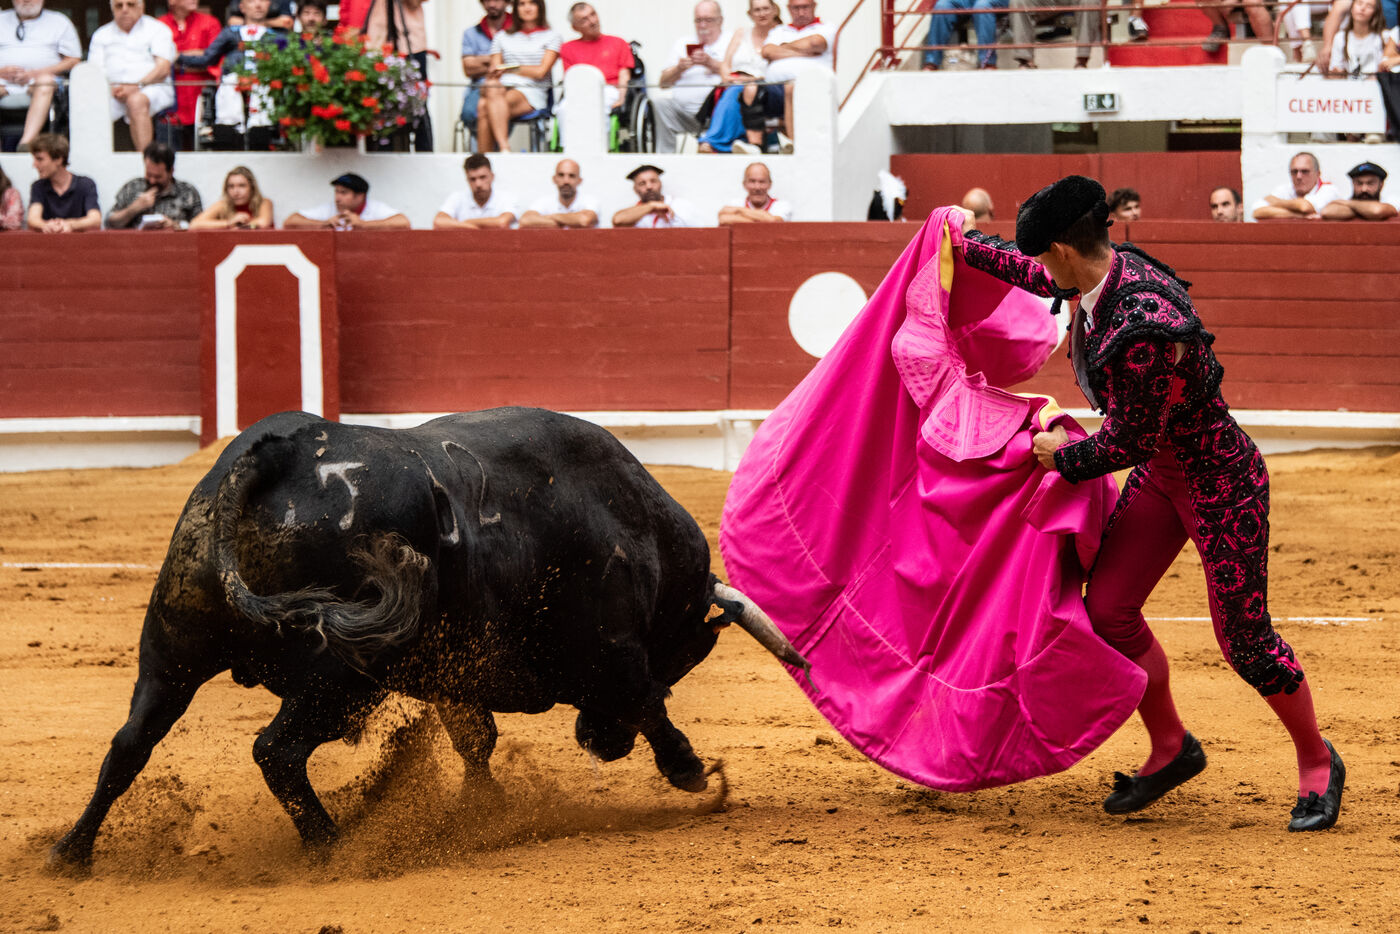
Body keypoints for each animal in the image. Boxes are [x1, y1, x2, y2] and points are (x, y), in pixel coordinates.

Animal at [49, 408, 808, 868]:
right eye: (684, 657)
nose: (600, 742)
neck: (641, 530)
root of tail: (280, 450)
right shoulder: (616, 648)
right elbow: (647, 698)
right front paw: (691, 771)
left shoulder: (455, 671)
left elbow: (476, 738)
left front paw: (485, 809)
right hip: (339, 676)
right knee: (276, 750)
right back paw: (335, 848)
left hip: (171, 648)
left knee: (131, 744)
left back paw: (71, 852)